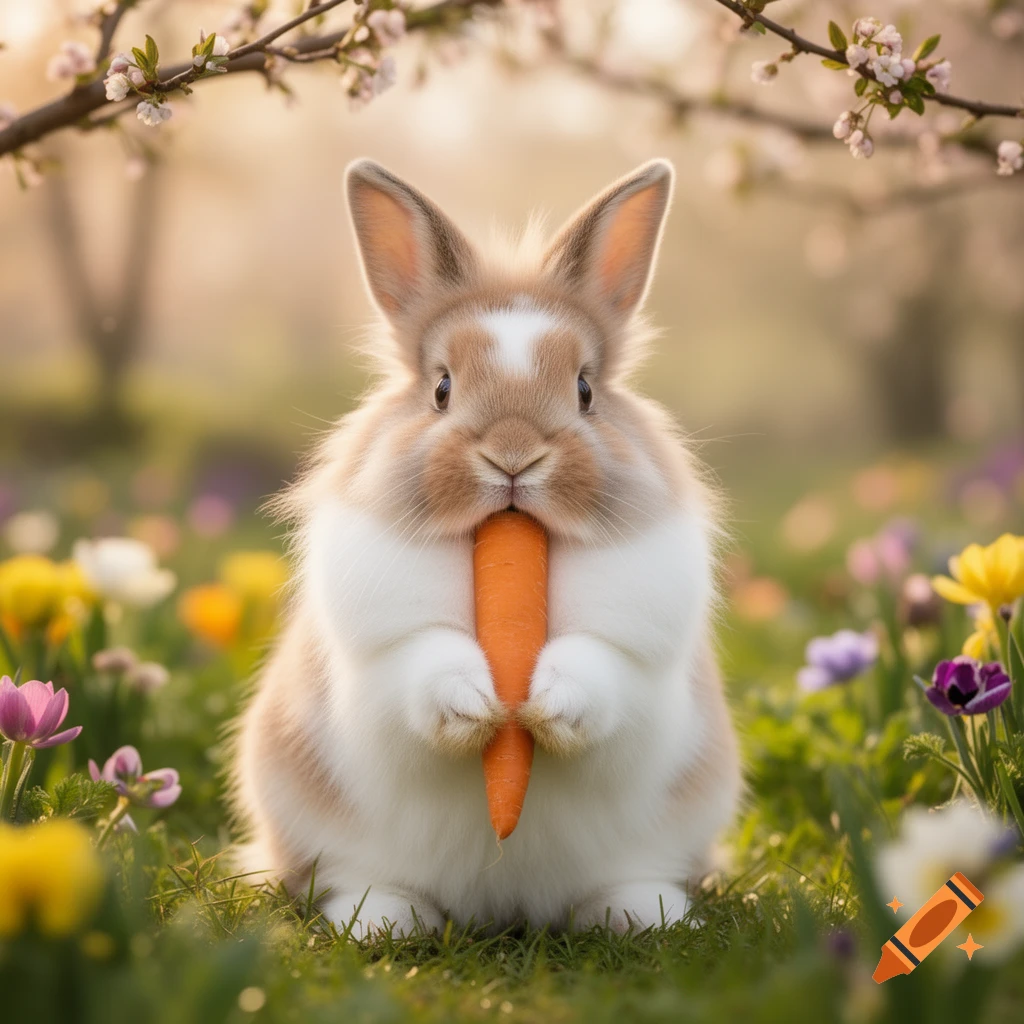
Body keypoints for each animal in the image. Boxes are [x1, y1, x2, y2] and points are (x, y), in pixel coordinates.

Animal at [230, 158, 742, 938]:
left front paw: (546, 703)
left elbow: (597, 666)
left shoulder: (636, 653)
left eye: (586, 389)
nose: (513, 455)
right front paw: (477, 704)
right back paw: (382, 921)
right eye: (442, 387)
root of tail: (501, 911)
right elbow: (427, 658)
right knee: (354, 880)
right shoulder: (386, 647)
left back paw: (646, 916)